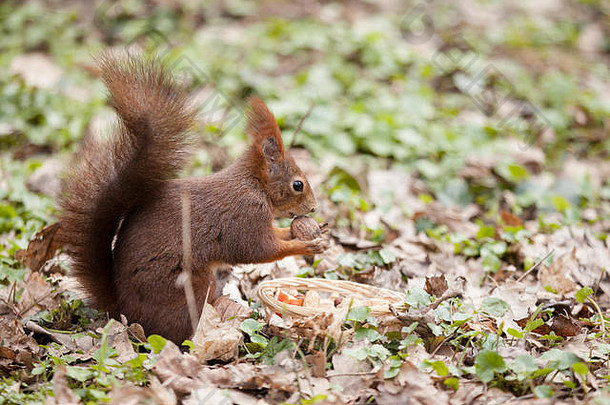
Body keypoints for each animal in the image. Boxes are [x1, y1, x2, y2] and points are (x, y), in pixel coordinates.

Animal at [60, 53, 328, 340]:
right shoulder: (245, 215)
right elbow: (258, 250)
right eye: (298, 185)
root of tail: (122, 310)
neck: (254, 185)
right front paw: (305, 246)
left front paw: (299, 232)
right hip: (189, 285)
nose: (313, 208)